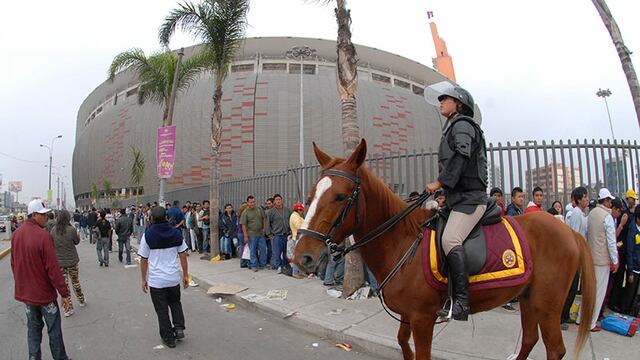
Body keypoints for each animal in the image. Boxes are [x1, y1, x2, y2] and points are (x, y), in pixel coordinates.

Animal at [292, 139, 596, 360]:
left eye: (340, 196)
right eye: (311, 195)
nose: (302, 257)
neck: (402, 242)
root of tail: (568, 231)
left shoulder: (423, 319)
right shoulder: (408, 315)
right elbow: (403, 343)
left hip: (547, 304)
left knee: (554, 349)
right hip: (528, 298)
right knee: (530, 340)